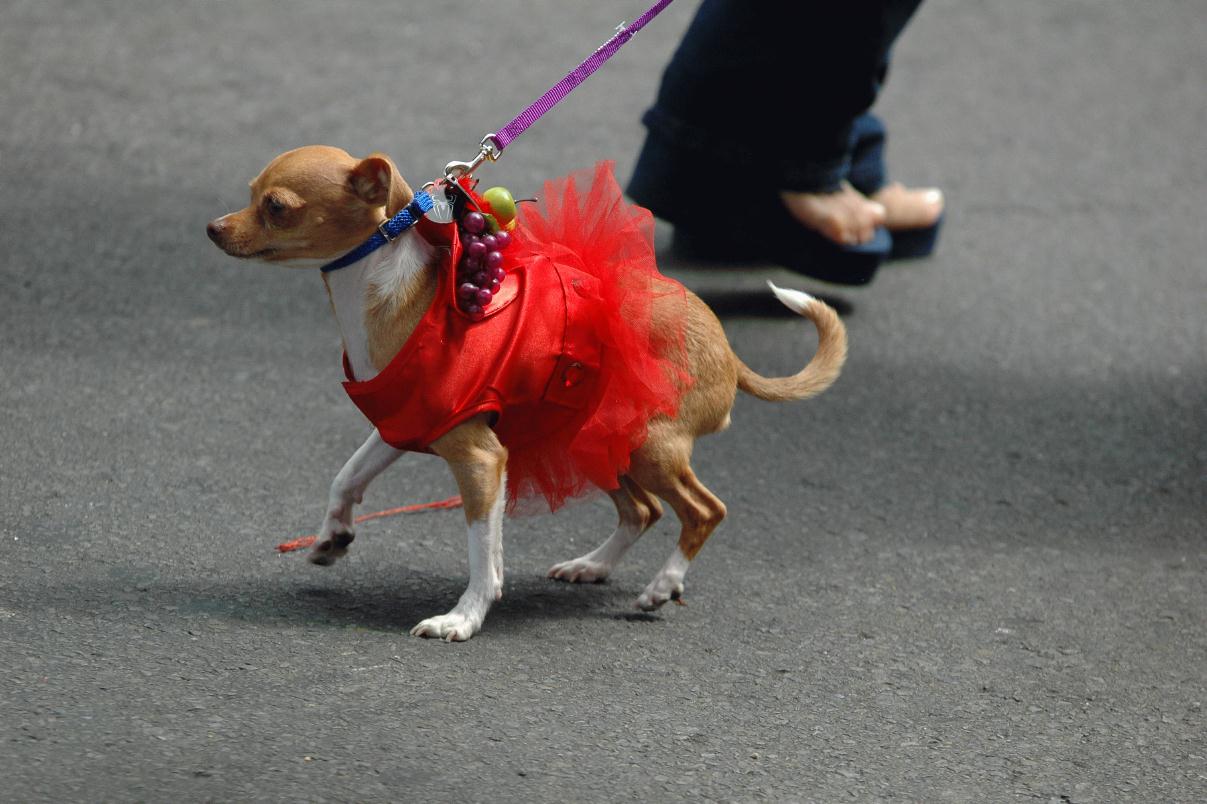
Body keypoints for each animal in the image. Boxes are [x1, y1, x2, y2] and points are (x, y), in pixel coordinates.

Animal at [207, 145, 849, 637]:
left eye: (276, 207)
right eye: (250, 193)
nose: (212, 229)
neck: (386, 299)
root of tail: (727, 348)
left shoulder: (480, 459)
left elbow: (482, 554)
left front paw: (462, 619)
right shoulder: (402, 426)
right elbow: (346, 477)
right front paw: (332, 536)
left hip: (648, 445)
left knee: (703, 510)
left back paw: (662, 586)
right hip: (594, 441)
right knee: (643, 509)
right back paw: (592, 566)